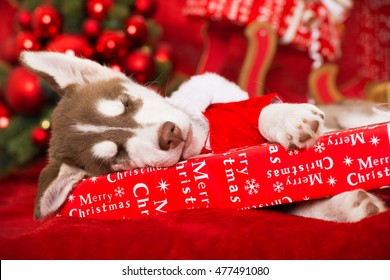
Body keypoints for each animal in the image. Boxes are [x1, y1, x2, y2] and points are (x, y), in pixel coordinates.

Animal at [19, 50, 386, 221]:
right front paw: (348, 207)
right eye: (116, 158)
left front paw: (288, 119)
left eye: (126, 102)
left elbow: (262, 111)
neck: (208, 142)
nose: (169, 135)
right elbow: (296, 206)